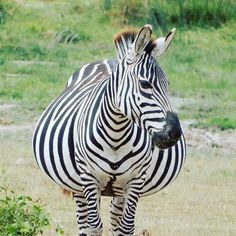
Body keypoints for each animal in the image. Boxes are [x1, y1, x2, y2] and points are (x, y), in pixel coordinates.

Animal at [32, 24, 186, 235]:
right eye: (145, 83)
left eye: (167, 84)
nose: (175, 133)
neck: (116, 134)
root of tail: (106, 61)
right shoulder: (88, 176)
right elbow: (94, 226)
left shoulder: (136, 179)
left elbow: (127, 227)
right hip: (78, 185)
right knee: (84, 220)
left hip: (119, 189)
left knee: (115, 217)